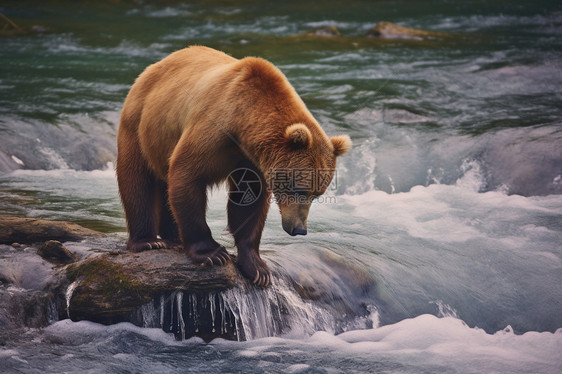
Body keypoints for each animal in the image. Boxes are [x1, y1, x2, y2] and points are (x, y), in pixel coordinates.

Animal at [115, 46, 348, 286]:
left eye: (317, 194)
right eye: (299, 190)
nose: (300, 229)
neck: (243, 125)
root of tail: (152, 67)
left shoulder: (252, 160)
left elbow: (249, 201)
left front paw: (257, 268)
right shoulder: (212, 130)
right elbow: (187, 175)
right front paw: (213, 253)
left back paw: (173, 238)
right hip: (141, 125)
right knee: (137, 180)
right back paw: (148, 241)